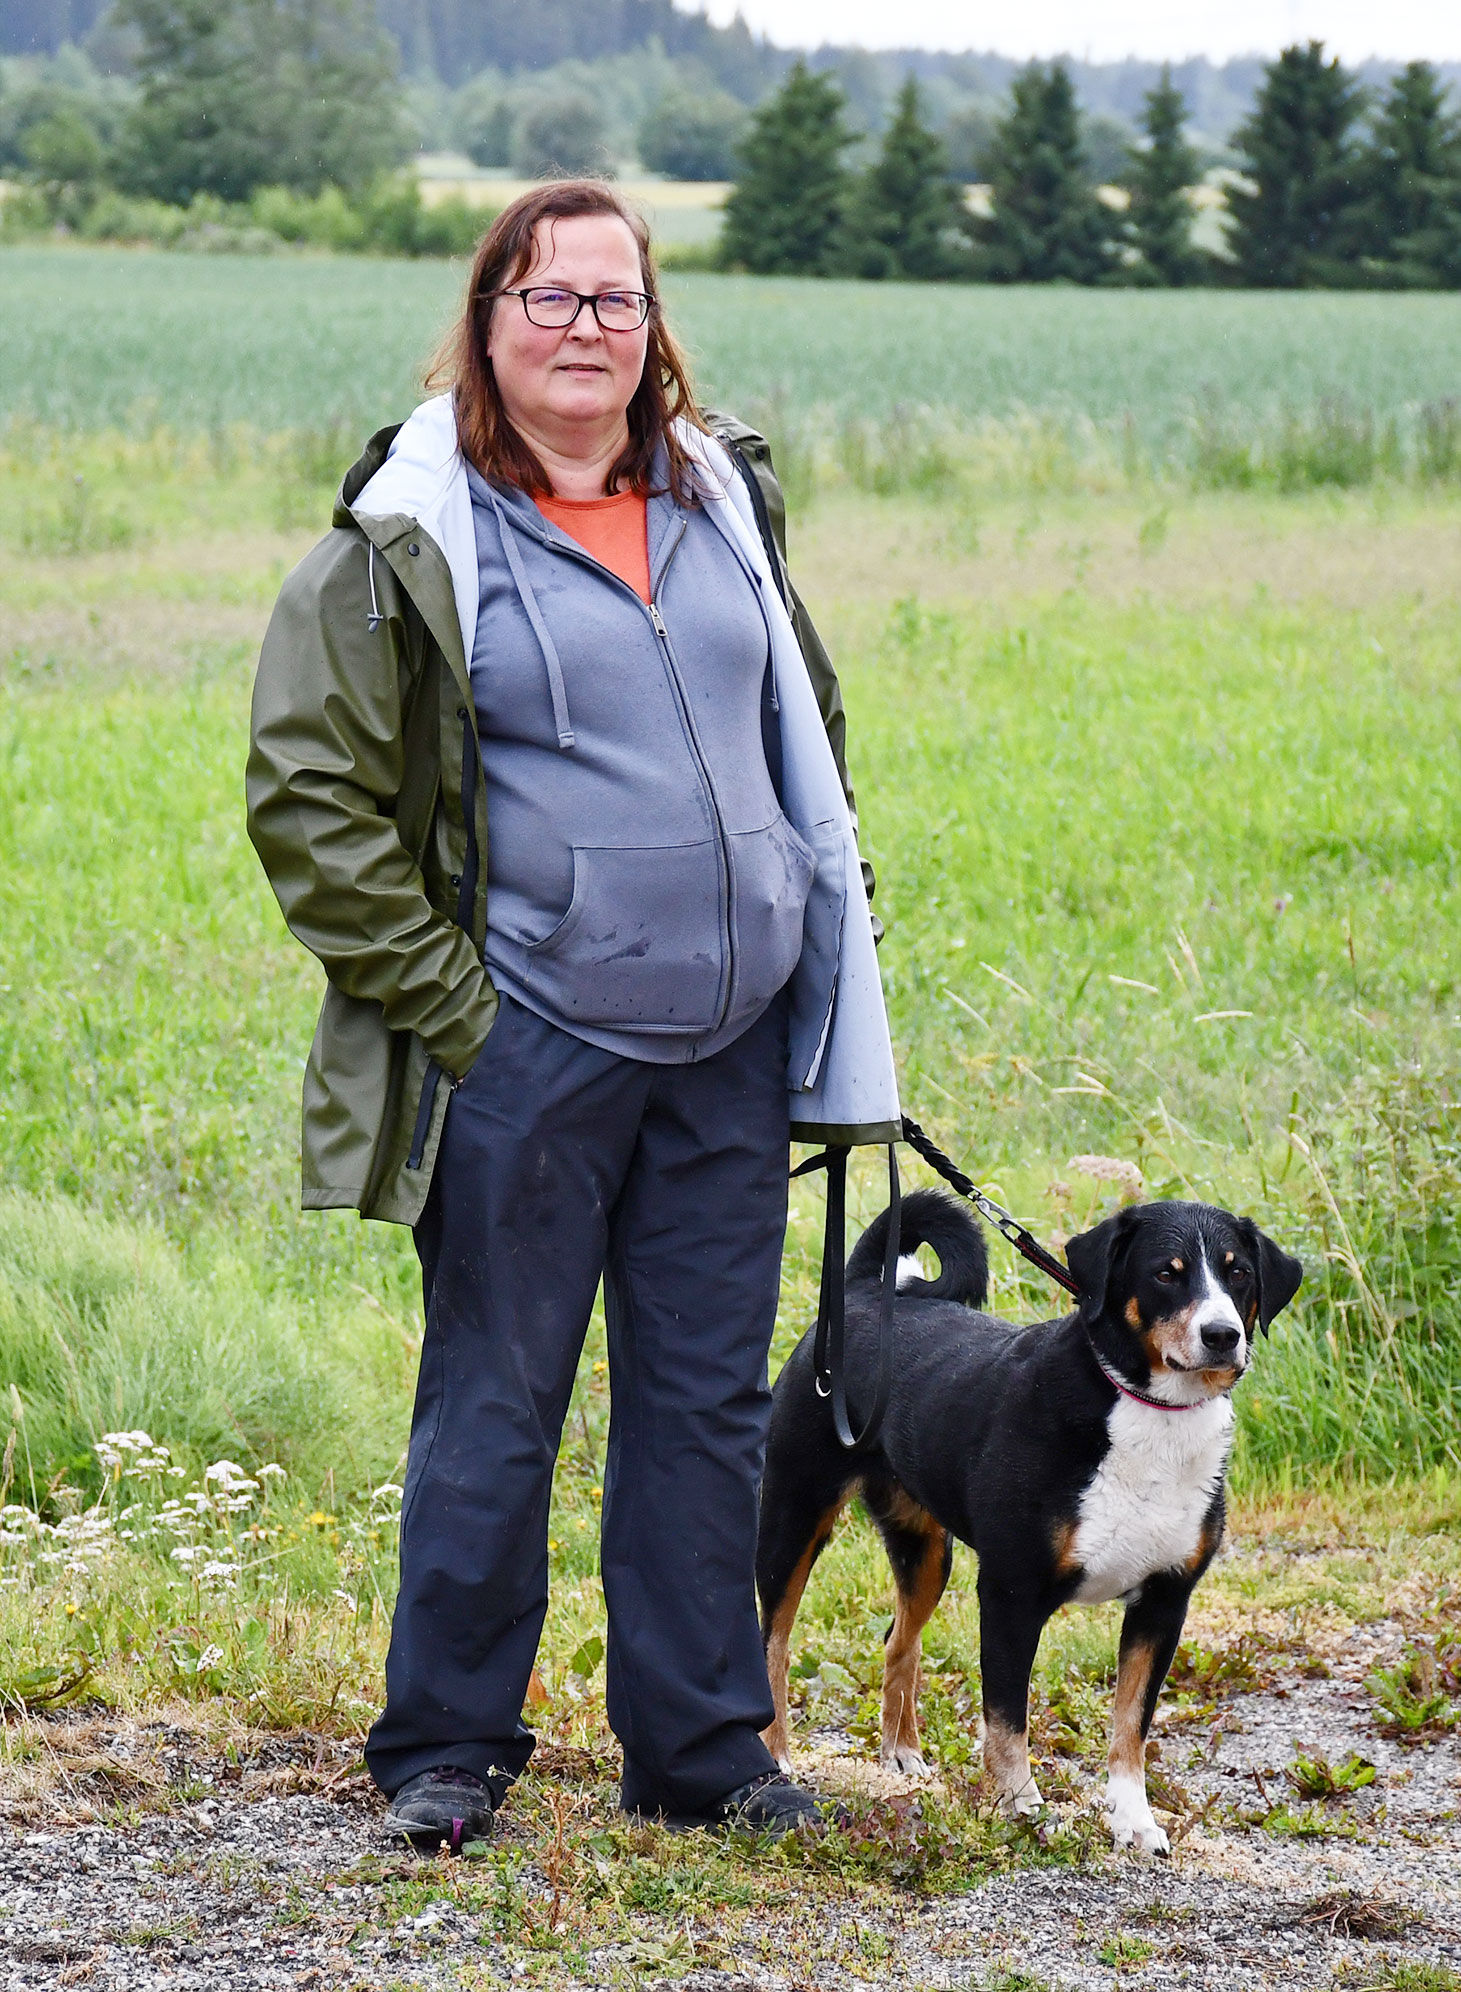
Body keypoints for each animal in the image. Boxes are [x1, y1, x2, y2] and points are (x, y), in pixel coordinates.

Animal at [757, 1179, 1307, 1848]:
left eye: (1239, 1274)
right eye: (1165, 1274)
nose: (1223, 1335)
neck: (1148, 1413)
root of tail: (866, 1290)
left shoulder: (1164, 1600)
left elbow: (1130, 1724)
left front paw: (1134, 1821)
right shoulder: (1012, 1593)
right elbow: (1006, 1719)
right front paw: (1020, 1806)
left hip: (926, 1550)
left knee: (898, 1642)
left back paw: (902, 1755)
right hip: (793, 1517)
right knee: (774, 1641)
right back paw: (775, 1757)